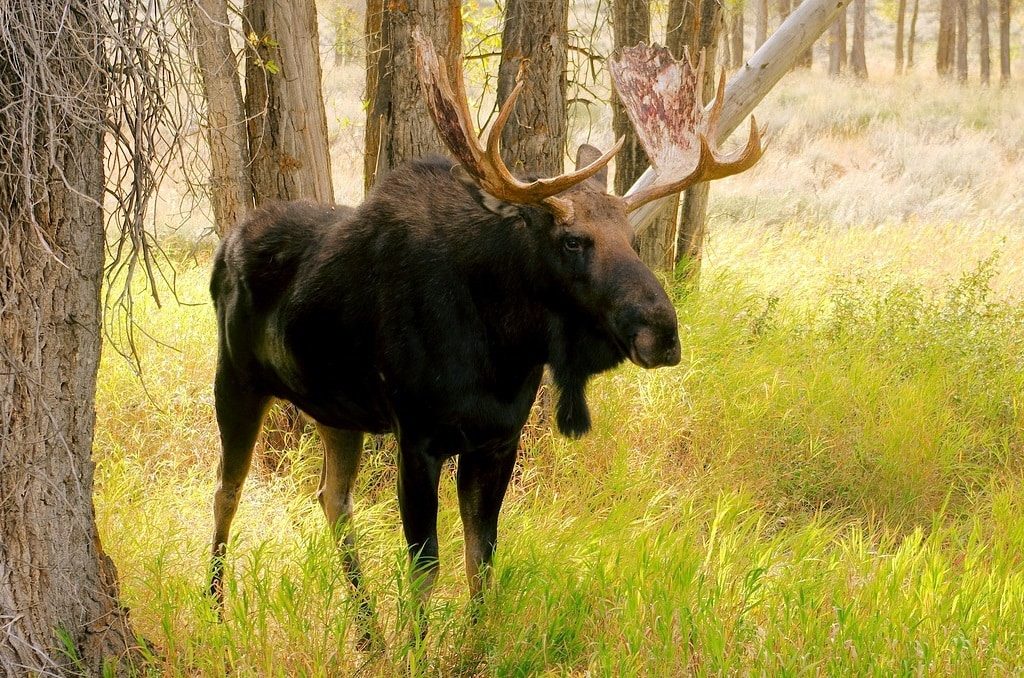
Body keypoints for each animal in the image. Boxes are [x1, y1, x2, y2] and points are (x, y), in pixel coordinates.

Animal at [205, 14, 761, 647]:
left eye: (632, 236)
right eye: (574, 240)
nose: (663, 332)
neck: (502, 350)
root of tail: (223, 247)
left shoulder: (497, 439)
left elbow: (482, 561)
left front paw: (473, 645)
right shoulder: (417, 436)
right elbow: (427, 566)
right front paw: (418, 649)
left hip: (334, 409)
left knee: (333, 499)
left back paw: (368, 633)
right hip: (236, 379)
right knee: (226, 492)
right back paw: (217, 610)